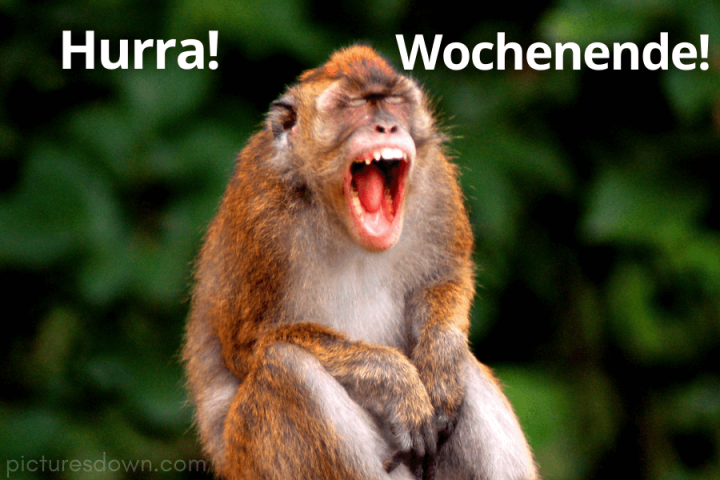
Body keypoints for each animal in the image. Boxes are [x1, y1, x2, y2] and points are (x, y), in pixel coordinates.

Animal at [183, 45, 539, 480]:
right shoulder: (259, 215)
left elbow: (444, 282)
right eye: (353, 106)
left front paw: (438, 364)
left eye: (394, 101)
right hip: (252, 456)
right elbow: (248, 346)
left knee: (464, 367)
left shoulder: (438, 183)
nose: (386, 126)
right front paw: (395, 383)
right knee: (287, 366)